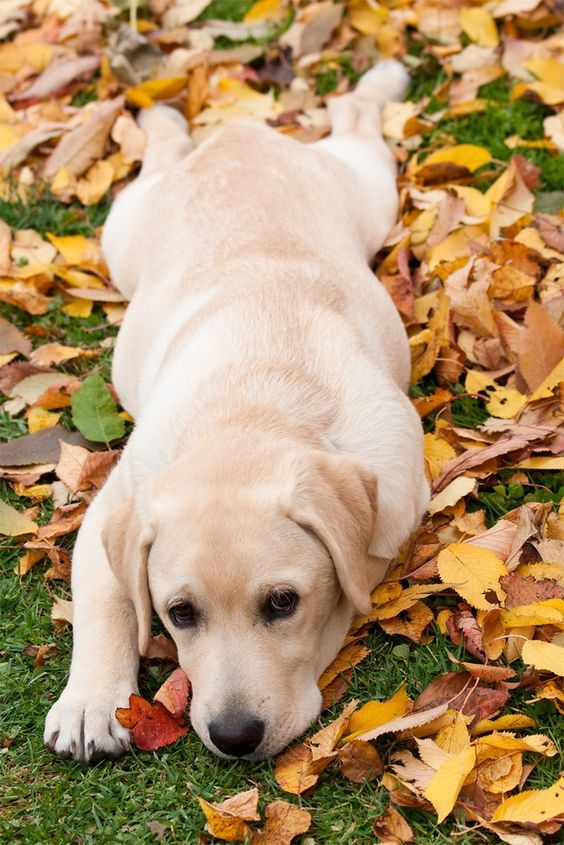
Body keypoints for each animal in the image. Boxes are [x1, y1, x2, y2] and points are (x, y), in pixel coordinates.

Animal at [45, 56, 428, 760]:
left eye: (282, 603)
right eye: (180, 613)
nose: (233, 736)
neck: (250, 409)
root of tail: (237, 137)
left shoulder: (397, 503)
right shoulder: (111, 514)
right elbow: (106, 604)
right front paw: (90, 702)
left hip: (366, 189)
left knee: (356, 117)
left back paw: (380, 81)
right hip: (124, 232)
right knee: (167, 151)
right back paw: (158, 114)